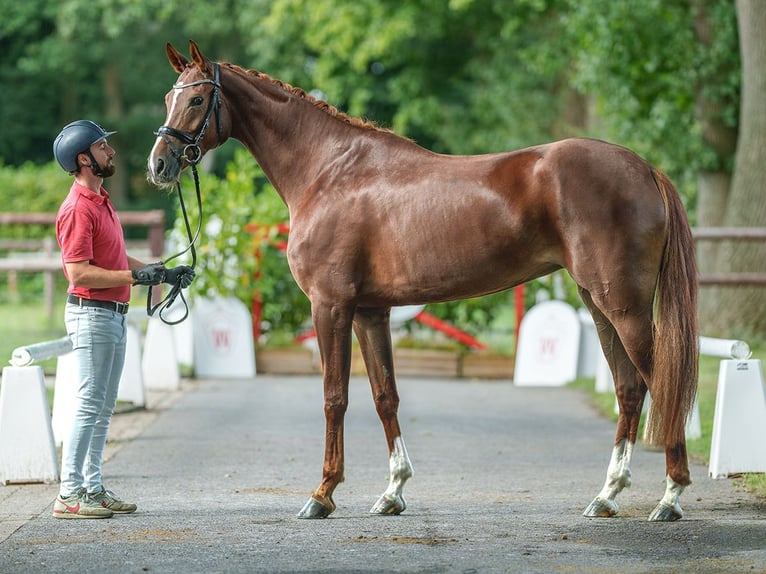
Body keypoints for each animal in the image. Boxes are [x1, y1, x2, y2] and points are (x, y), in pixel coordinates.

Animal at [147, 42, 700, 524]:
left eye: (197, 99)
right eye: (169, 97)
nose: (159, 164)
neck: (328, 171)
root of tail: (644, 168)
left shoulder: (330, 305)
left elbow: (334, 396)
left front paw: (322, 495)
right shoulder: (370, 311)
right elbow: (384, 395)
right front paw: (392, 492)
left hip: (624, 306)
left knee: (661, 382)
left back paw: (670, 498)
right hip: (600, 303)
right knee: (630, 388)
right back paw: (607, 496)